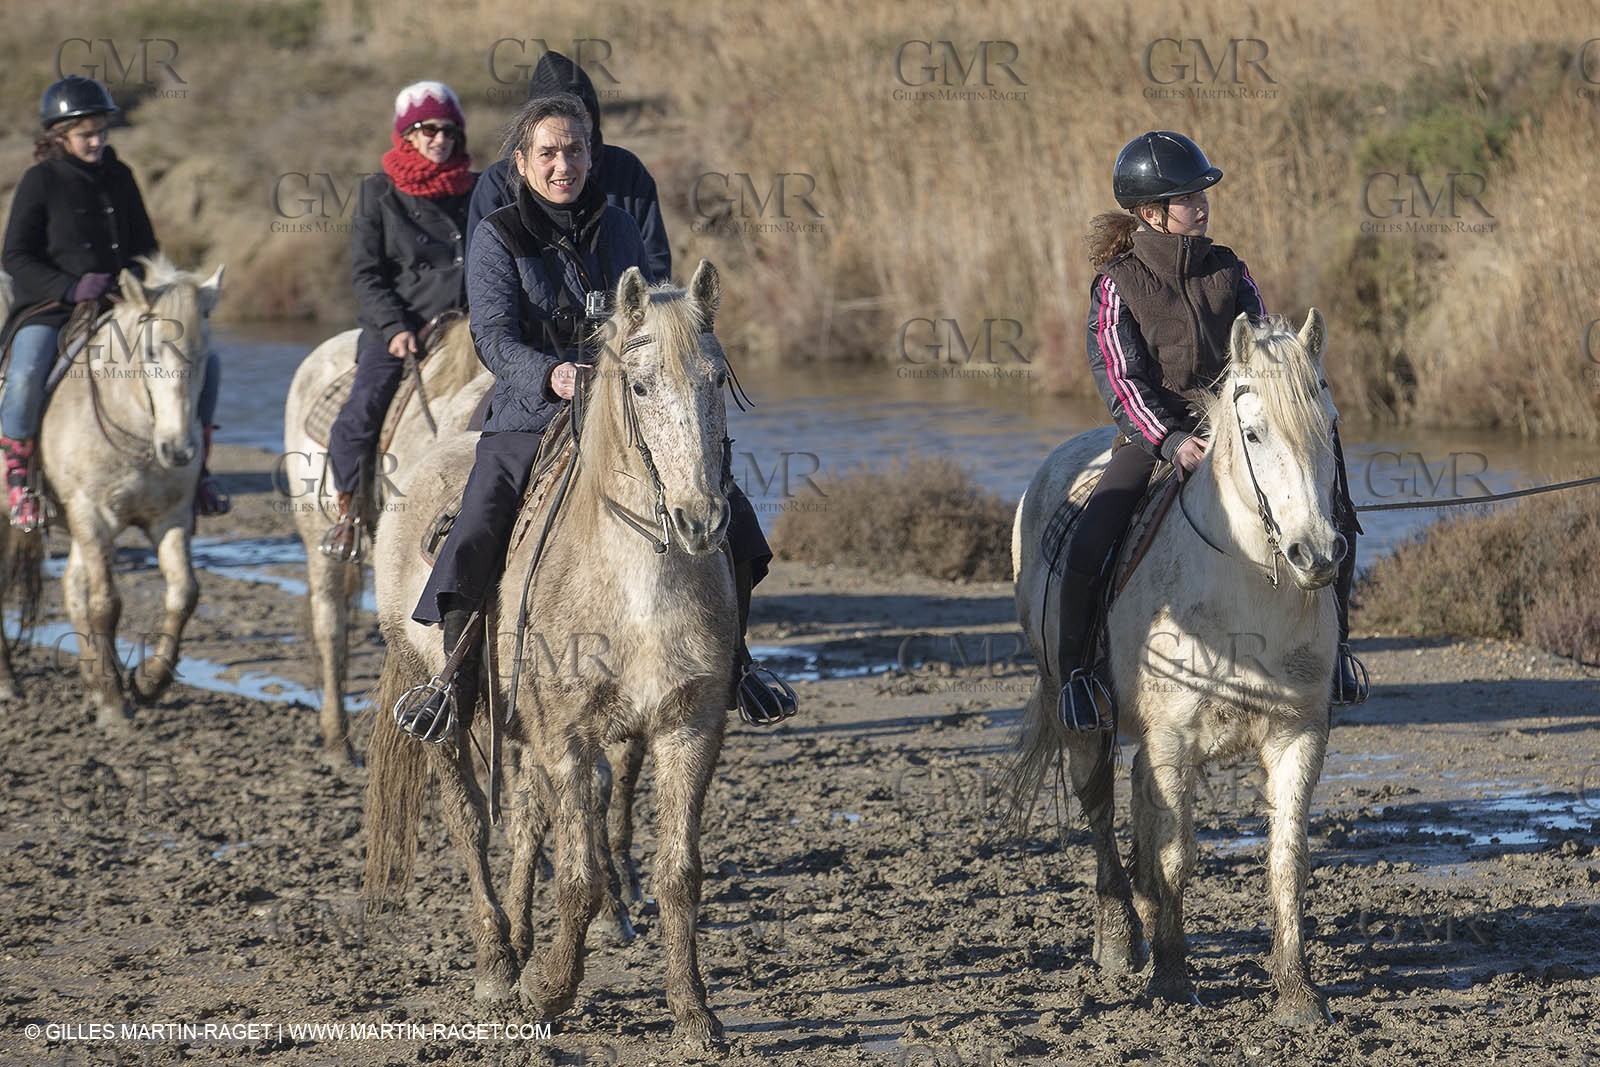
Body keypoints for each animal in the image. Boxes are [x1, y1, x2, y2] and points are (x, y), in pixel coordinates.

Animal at [0, 256, 224, 729]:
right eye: (152, 351)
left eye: (203, 354)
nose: (179, 450)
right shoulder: (93, 515)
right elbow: (106, 603)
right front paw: (113, 703)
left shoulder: (171, 518)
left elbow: (184, 593)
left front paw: (148, 680)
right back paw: (10, 682)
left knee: (72, 588)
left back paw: (93, 677)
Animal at [364, 259, 736, 1049]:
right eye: (640, 386)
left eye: (718, 379)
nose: (701, 519)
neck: (635, 586)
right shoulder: (569, 734)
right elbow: (579, 876)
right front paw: (552, 989)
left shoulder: (687, 728)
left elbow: (678, 873)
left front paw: (694, 1012)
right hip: (442, 702)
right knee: (471, 819)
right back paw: (498, 962)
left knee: (528, 817)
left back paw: (521, 940)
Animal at [1004, 310, 1343, 1026]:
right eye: (1252, 431)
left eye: (1329, 425)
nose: (1317, 553)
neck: (1247, 584)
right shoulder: (1174, 740)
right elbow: (1176, 854)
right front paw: (1170, 978)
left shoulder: (1298, 735)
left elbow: (1286, 860)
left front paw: (1297, 994)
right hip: (1085, 722)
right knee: (1101, 811)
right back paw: (1116, 941)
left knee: (1136, 800)